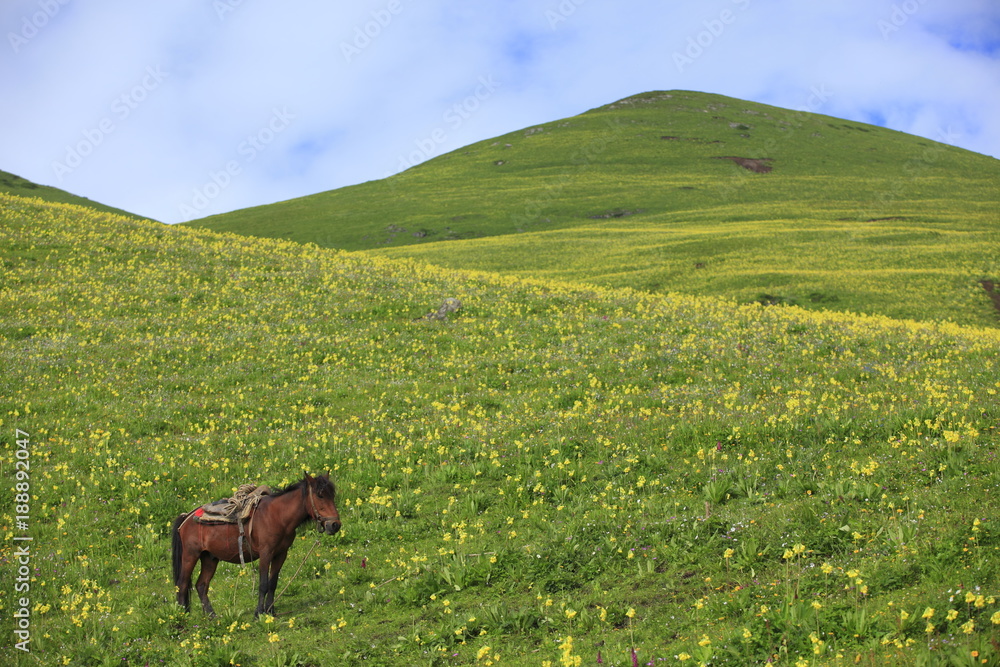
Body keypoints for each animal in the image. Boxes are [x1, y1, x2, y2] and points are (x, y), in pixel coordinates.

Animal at [171, 472, 340, 620]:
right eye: (320, 495)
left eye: (332, 495)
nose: (335, 525)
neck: (277, 516)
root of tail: (186, 517)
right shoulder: (266, 553)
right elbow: (263, 584)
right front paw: (259, 613)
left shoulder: (280, 554)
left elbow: (273, 583)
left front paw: (271, 611)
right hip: (190, 555)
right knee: (182, 584)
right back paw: (181, 617)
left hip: (210, 558)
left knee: (201, 585)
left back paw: (212, 616)